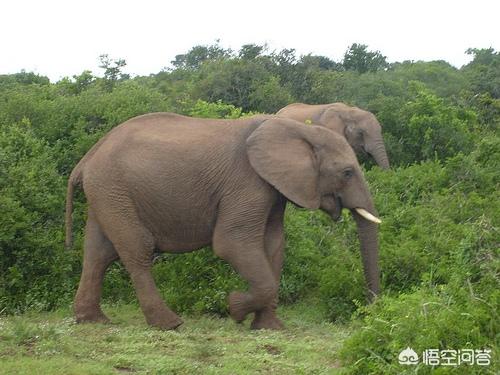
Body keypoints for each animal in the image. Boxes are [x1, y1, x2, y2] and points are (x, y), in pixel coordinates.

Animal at [65, 113, 378, 330]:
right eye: (347, 172)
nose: (371, 308)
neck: (299, 129)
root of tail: (86, 159)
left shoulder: (273, 188)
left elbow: (274, 245)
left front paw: (269, 328)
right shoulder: (246, 182)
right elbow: (232, 243)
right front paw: (236, 308)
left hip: (106, 193)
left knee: (98, 253)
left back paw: (94, 320)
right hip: (114, 189)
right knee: (136, 249)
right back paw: (170, 324)